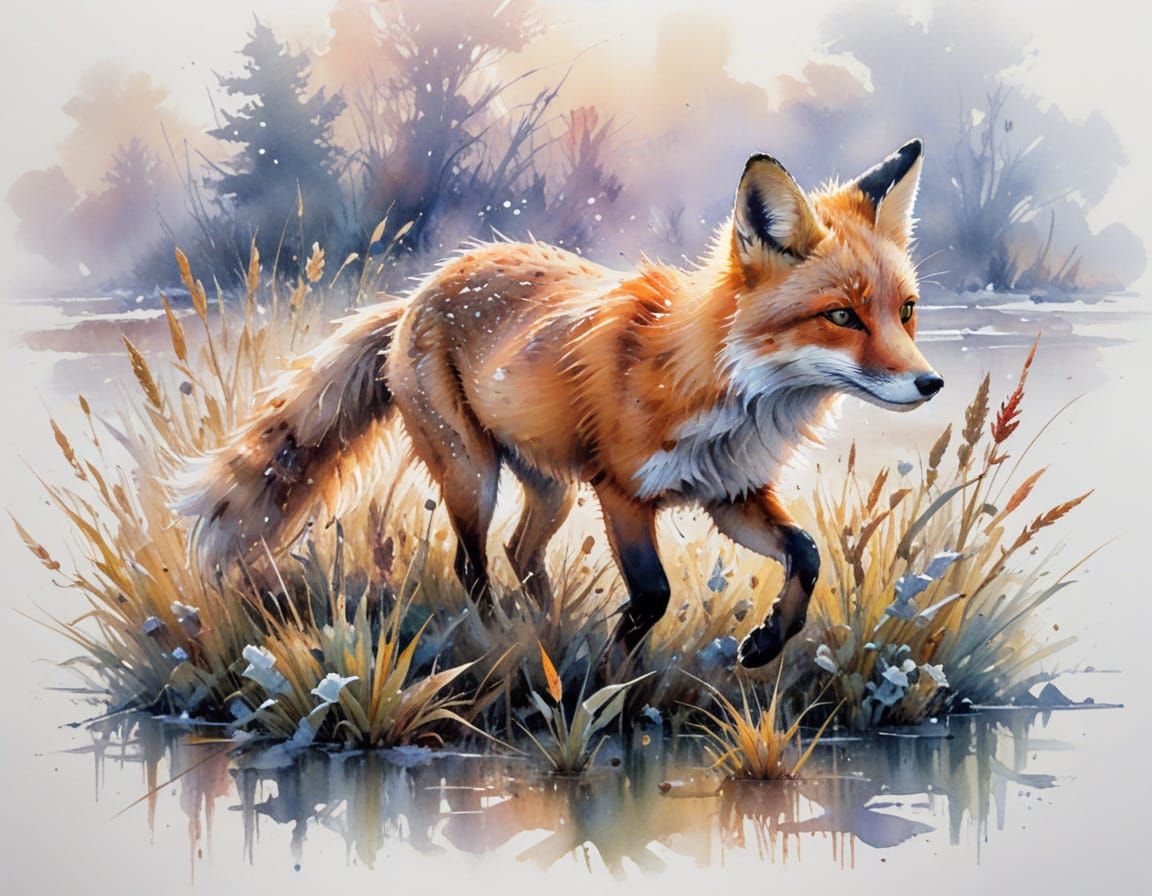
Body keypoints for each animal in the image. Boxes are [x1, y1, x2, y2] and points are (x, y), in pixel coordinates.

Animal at [177, 138, 942, 668]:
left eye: (904, 311)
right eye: (841, 316)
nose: (930, 384)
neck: (721, 391)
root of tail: (422, 289)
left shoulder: (731, 492)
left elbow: (805, 554)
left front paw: (764, 644)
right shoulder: (623, 493)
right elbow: (653, 594)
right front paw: (615, 670)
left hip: (550, 487)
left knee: (521, 552)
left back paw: (545, 627)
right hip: (473, 474)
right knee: (473, 566)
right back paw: (504, 639)